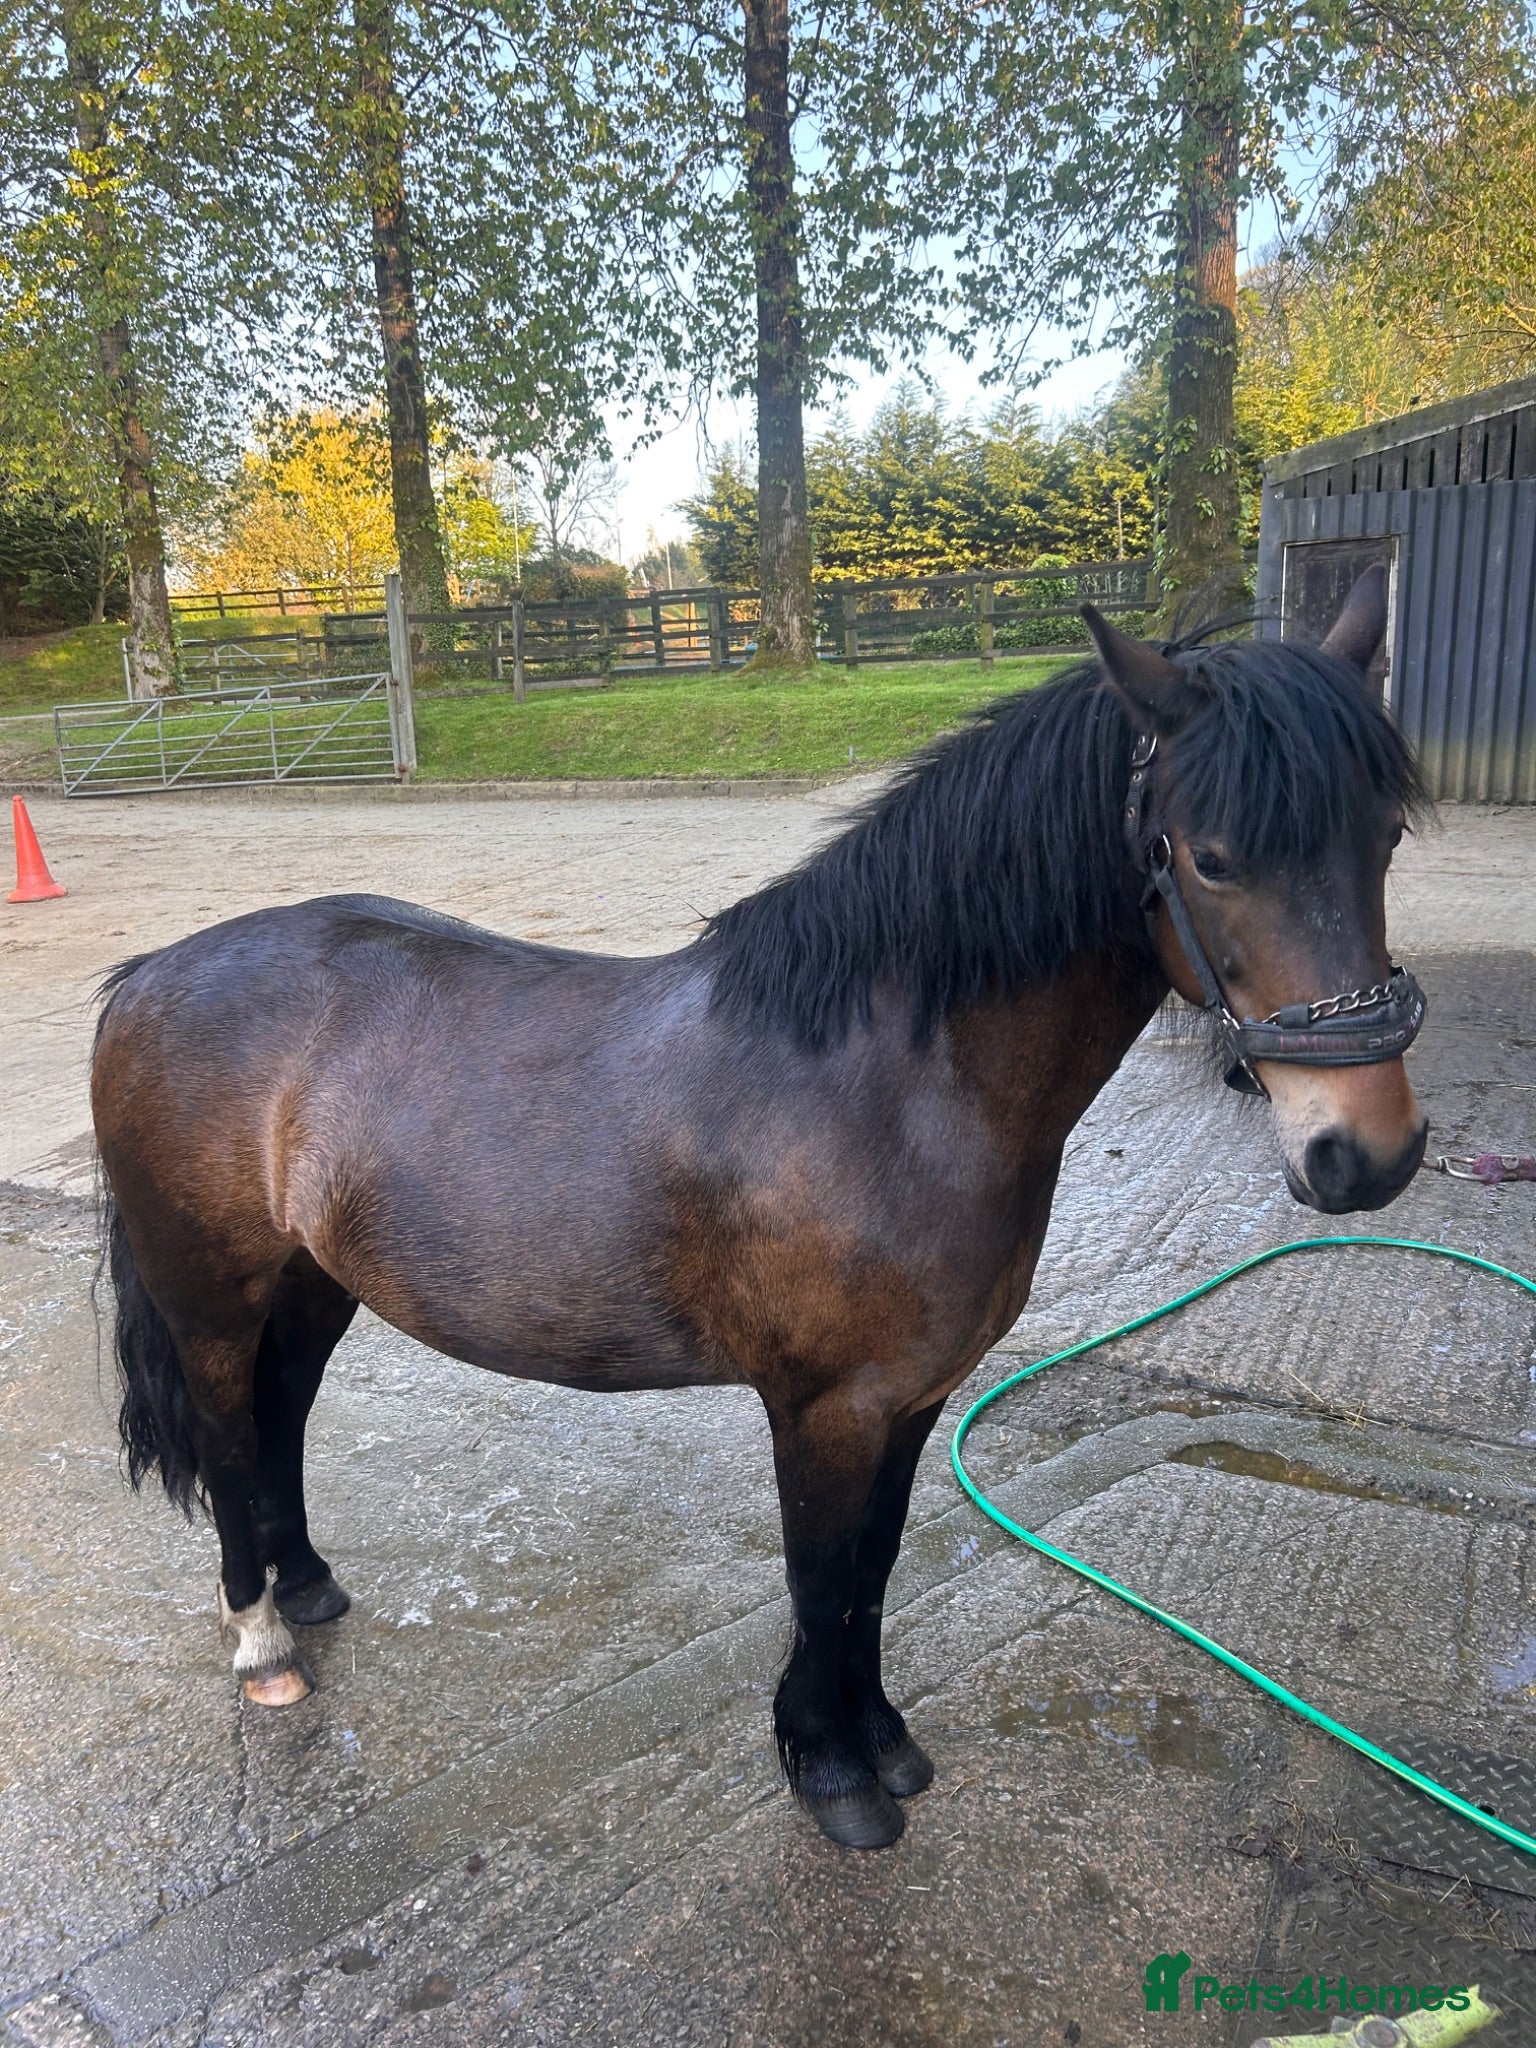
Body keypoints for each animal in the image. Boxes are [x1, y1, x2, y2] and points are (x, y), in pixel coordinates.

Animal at [92, 575, 1429, 1852]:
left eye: (1388, 833)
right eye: (1211, 857)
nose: (1366, 1152)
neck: (889, 1082)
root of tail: (146, 976)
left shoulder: (913, 1395)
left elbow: (873, 1571)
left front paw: (880, 1740)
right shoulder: (824, 1407)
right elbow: (821, 1579)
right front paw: (831, 1769)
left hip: (314, 1283)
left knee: (279, 1418)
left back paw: (309, 1585)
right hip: (210, 1297)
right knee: (228, 1435)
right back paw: (265, 1641)